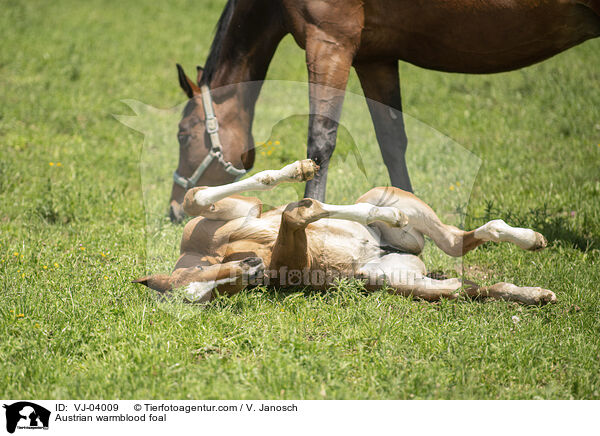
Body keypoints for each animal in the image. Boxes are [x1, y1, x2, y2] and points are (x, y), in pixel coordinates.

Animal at [134, 158, 556, 304]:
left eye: (206, 275)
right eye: (218, 292)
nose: (253, 269)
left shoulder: (242, 219)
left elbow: (198, 197)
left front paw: (300, 172)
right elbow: (299, 214)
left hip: (392, 196)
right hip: (396, 280)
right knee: (463, 273)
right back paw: (537, 290)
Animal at [166, 0, 596, 221]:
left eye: (183, 134)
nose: (174, 209)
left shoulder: (330, 41)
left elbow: (321, 138)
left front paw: (308, 212)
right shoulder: (376, 58)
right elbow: (392, 140)